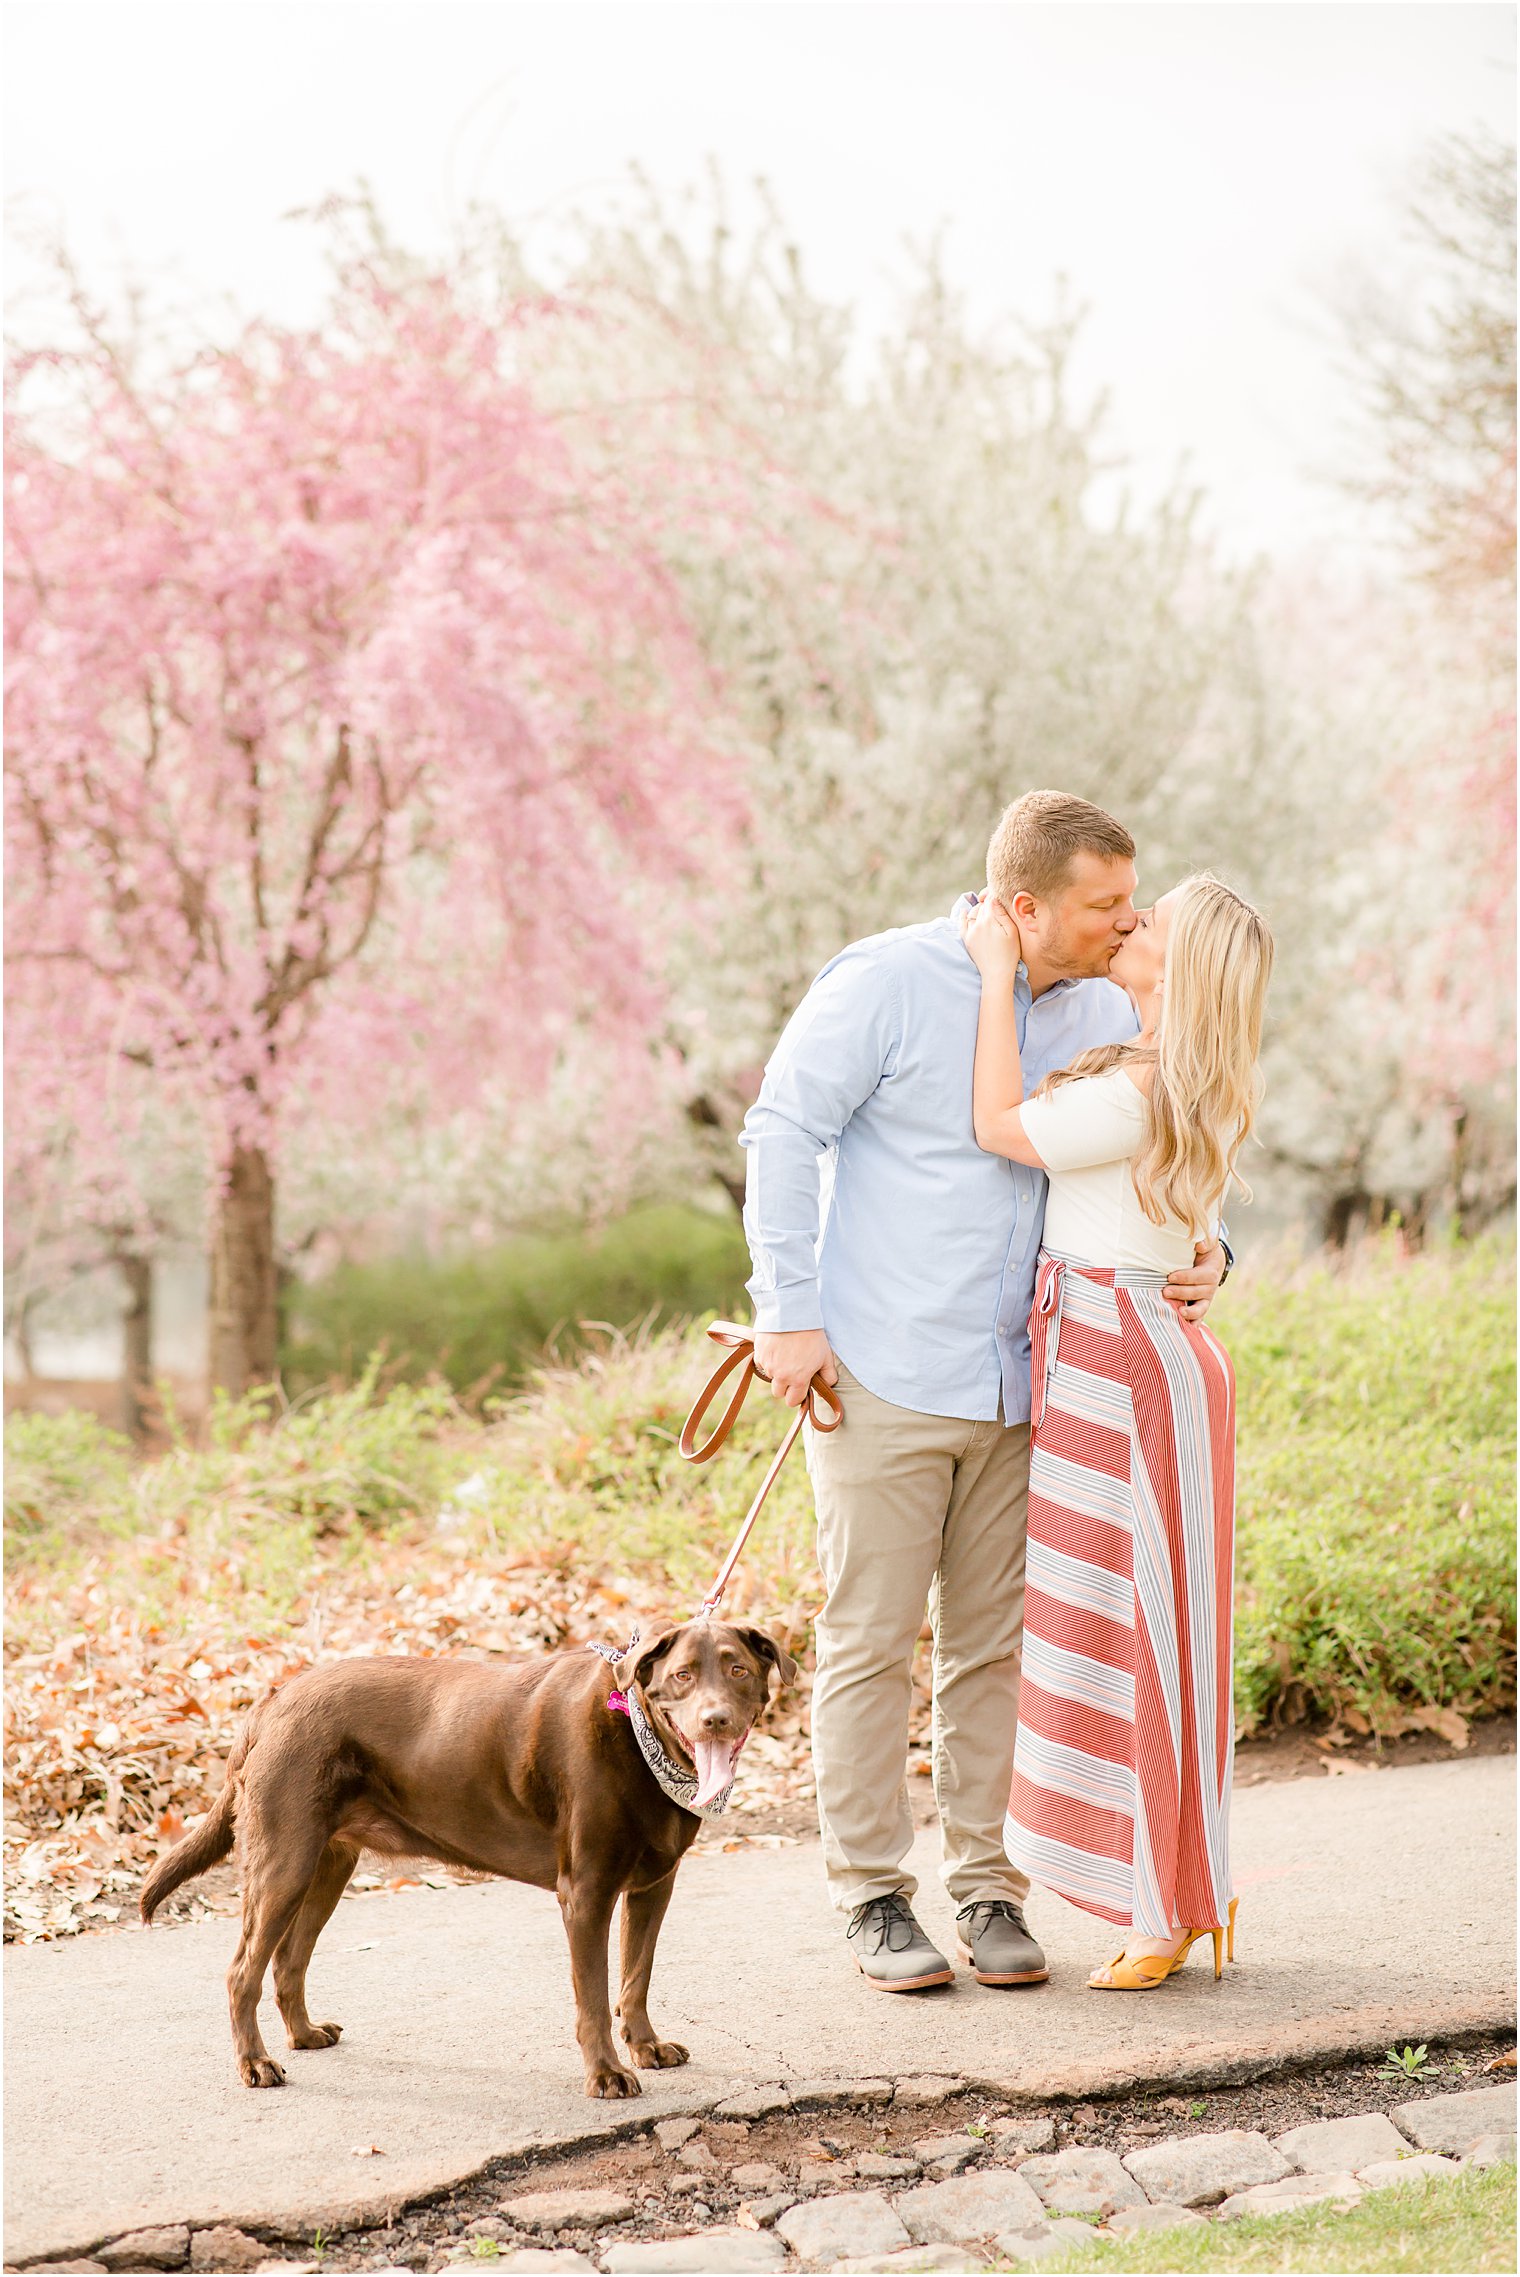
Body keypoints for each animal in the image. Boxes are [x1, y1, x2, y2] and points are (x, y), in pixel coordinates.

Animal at [139, 1621, 796, 2094]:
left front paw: (645, 2047)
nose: (715, 1719)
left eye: (737, 1669)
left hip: (327, 1864)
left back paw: (303, 2035)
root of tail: (270, 1702)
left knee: (288, 1961)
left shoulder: (653, 1886)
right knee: (243, 1972)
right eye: (682, 1676)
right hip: (284, 1863)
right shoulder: (585, 1894)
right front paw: (607, 2074)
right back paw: (255, 2064)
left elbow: (636, 1976)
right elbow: (592, 1995)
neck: (638, 1737)